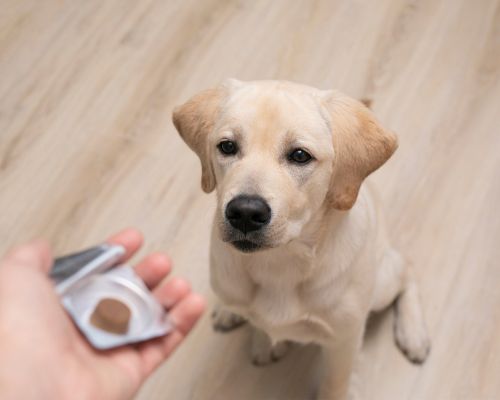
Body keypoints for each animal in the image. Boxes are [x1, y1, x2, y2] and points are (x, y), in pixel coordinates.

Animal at [172, 79, 430, 398]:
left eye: (299, 155)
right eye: (227, 146)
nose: (244, 212)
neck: (280, 261)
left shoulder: (344, 340)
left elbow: (335, 385)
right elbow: (261, 322)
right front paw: (263, 340)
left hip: (383, 281)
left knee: (407, 268)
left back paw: (413, 333)